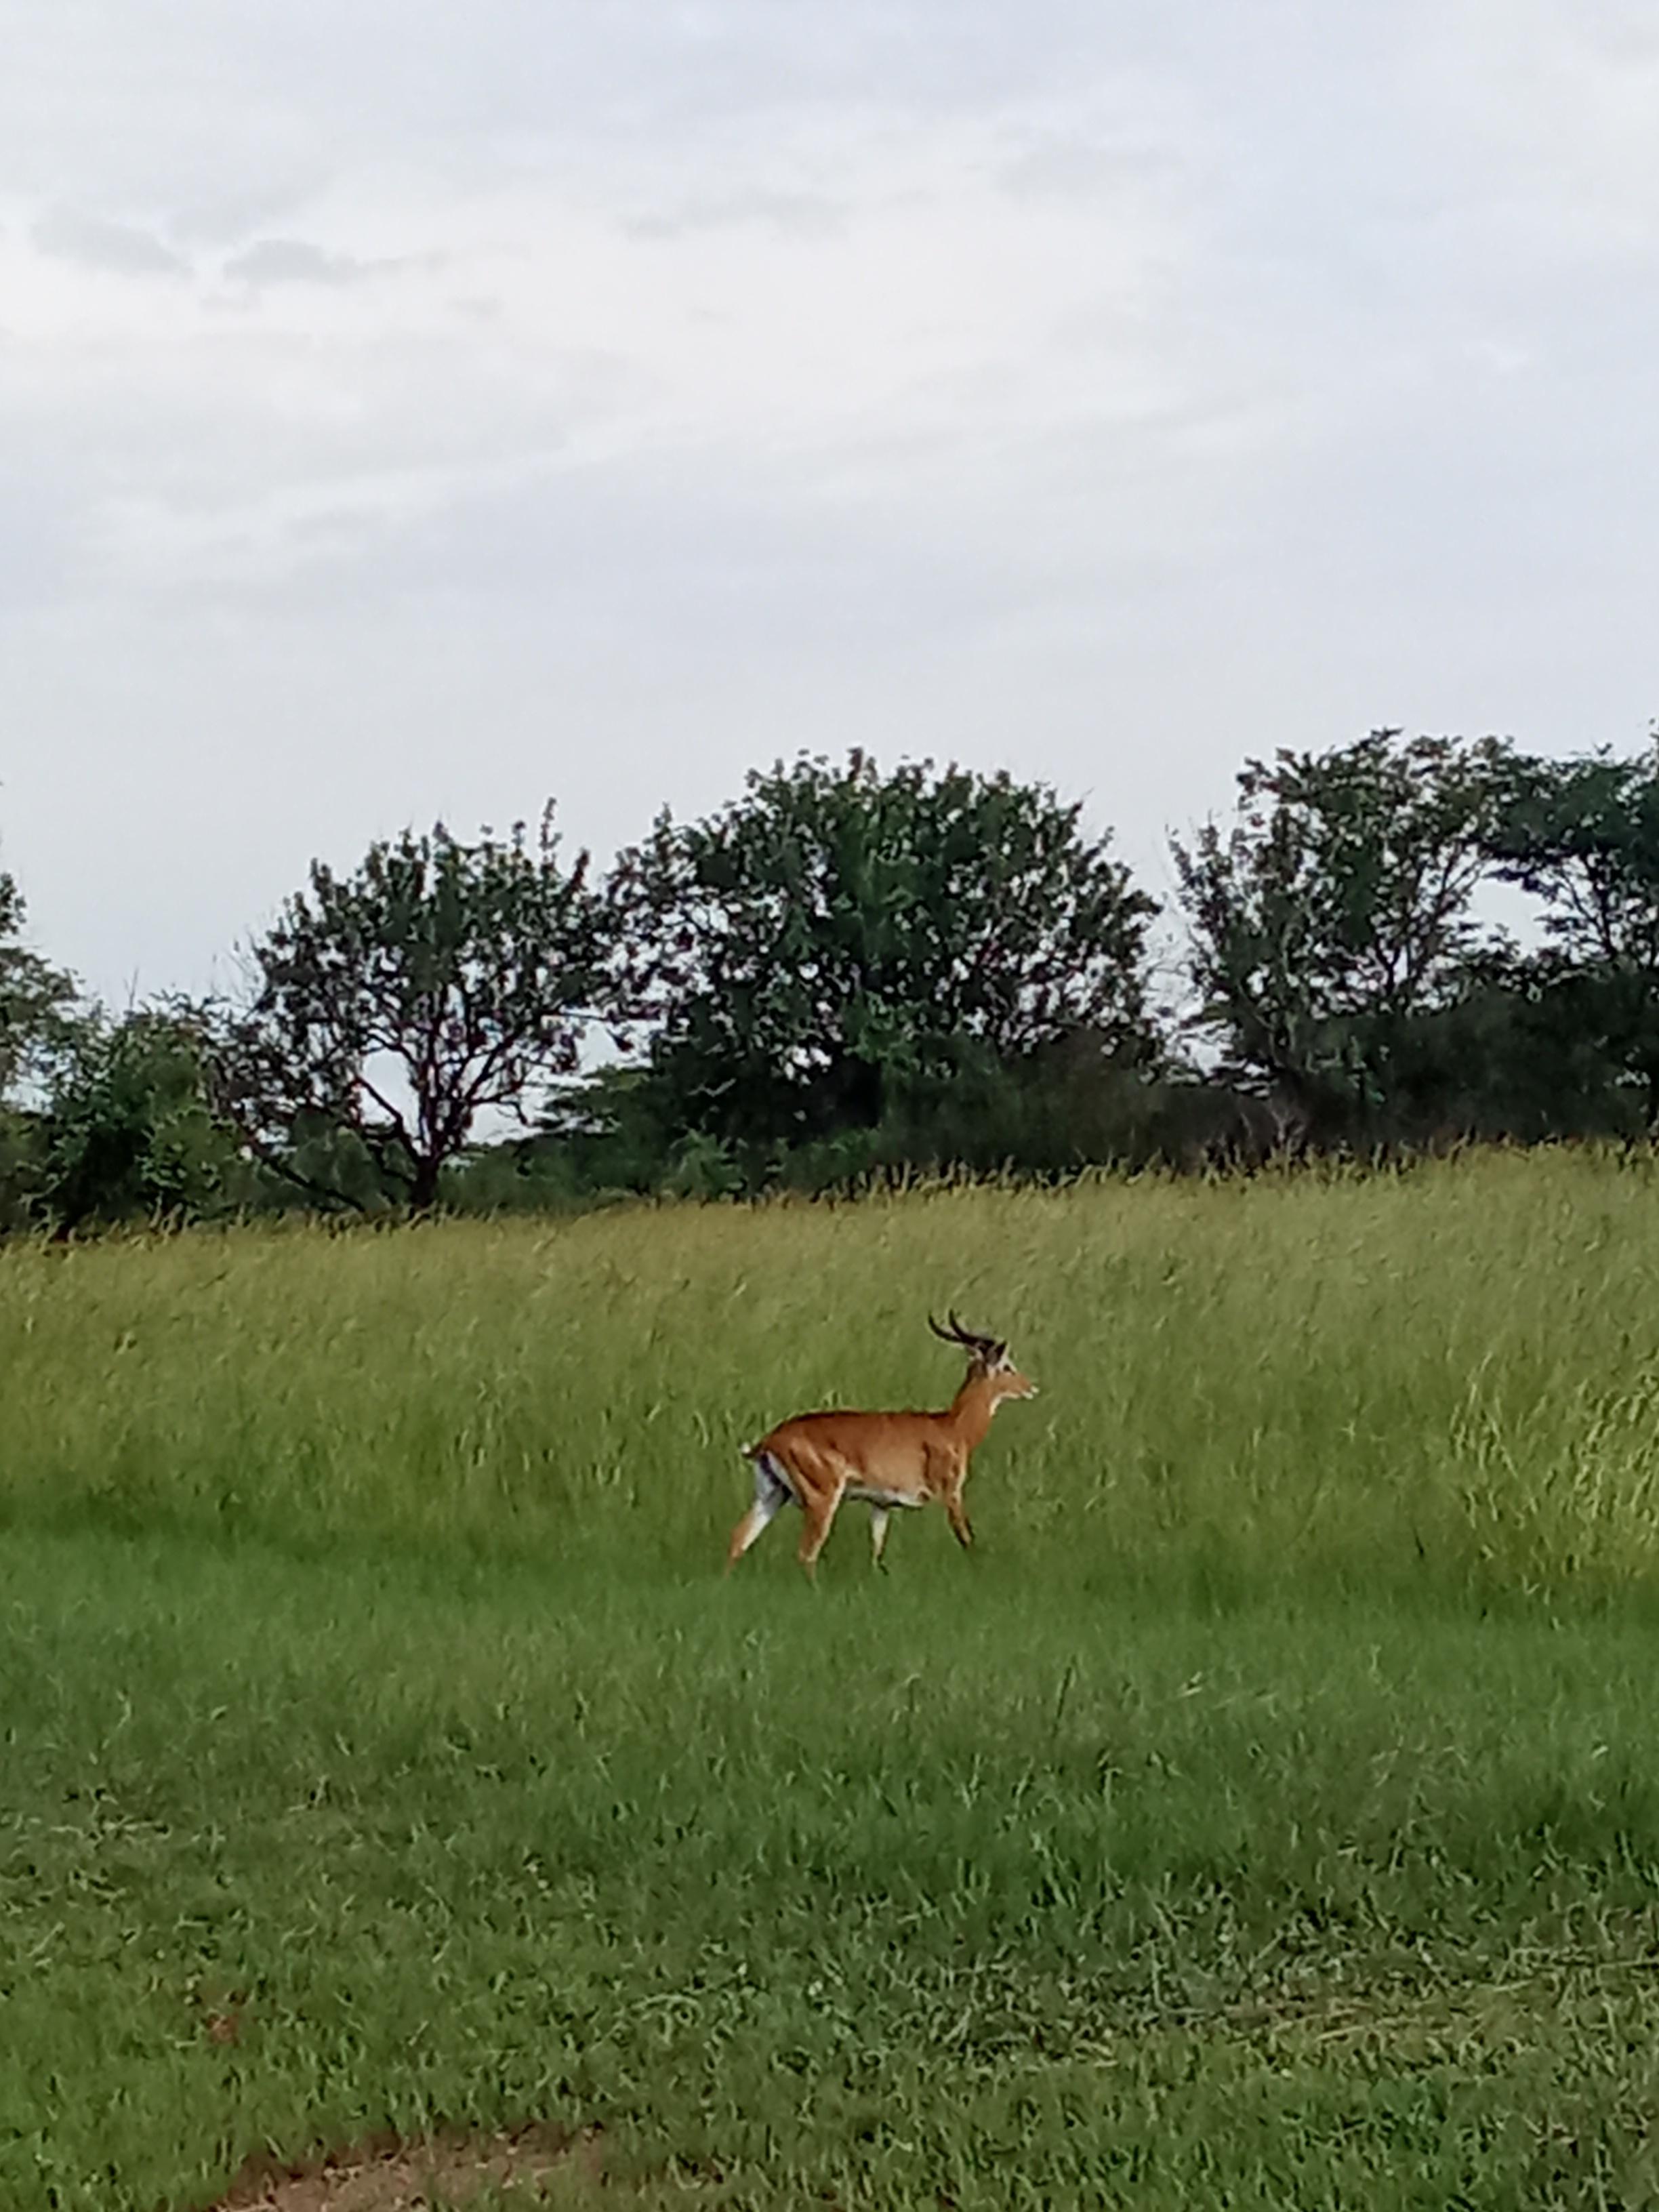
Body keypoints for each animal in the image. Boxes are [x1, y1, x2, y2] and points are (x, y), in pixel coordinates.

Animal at [725, 1312, 1037, 1578]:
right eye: (1008, 1367)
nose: (1031, 1387)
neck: (952, 1428)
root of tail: (770, 1440)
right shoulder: (952, 1494)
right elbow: (967, 1539)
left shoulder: (881, 1504)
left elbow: (876, 1552)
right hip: (821, 1500)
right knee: (806, 1553)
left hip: (772, 1494)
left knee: (739, 1539)